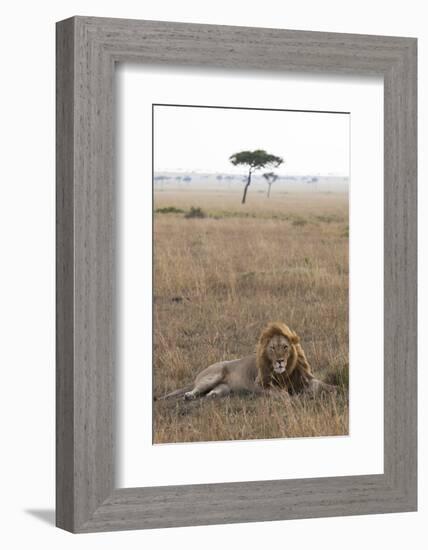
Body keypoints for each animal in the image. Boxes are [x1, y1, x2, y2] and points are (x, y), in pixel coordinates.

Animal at [155, 322, 336, 404]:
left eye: (285, 347)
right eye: (272, 348)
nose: (279, 362)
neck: (284, 372)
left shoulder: (304, 378)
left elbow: (321, 384)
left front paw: (334, 389)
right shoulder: (259, 385)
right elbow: (281, 393)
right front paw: (290, 398)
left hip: (225, 387)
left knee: (211, 392)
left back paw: (212, 395)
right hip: (213, 375)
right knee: (197, 389)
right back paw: (189, 396)